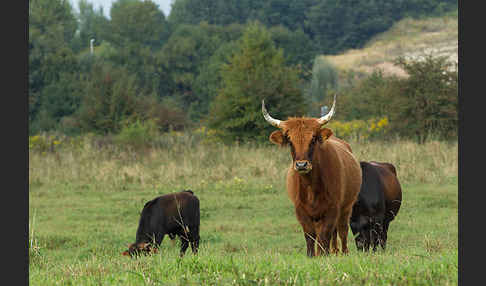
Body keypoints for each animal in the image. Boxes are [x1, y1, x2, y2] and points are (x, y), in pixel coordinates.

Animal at [262, 95, 360, 256]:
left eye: (313, 139)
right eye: (290, 141)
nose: (301, 165)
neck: (311, 186)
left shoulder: (333, 208)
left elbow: (325, 234)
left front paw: (324, 254)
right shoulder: (301, 210)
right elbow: (310, 235)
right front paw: (311, 255)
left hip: (346, 207)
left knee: (342, 230)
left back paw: (342, 252)